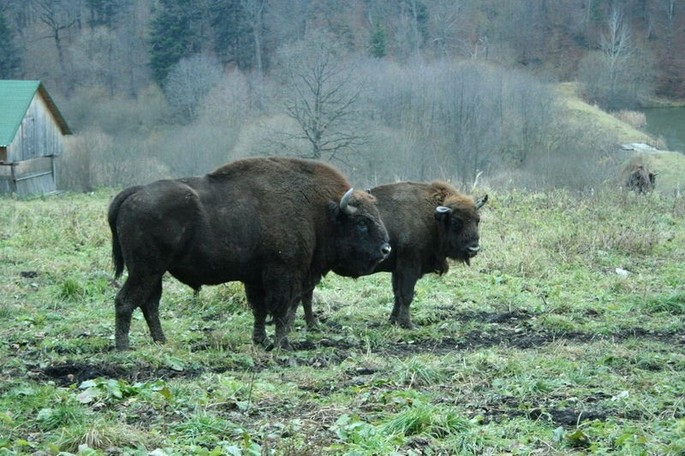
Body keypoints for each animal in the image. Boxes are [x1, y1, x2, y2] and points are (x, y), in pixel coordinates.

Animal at [108, 157, 391, 350]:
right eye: (362, 222)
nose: (386, 249)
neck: (320, 211)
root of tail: (136, 192)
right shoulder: (284, 274)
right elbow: (282, 310)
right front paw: (282, 344)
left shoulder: (255, 278)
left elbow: (260, 310)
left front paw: (261, 341)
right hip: (145, 269)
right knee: (126, 301)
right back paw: (124, 347)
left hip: (154, 272)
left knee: (149, 303)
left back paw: (161, 341)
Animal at [298, 180, 487, 329]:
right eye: (456, 221)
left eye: (477, 220)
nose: (474, 248)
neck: (432, 217)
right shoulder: (409, 267)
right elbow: (407, 295)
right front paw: (408, 324)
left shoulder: (397, 270)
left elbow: (397, 294)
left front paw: (393, 320)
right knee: (307, 293)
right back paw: (313, 325)